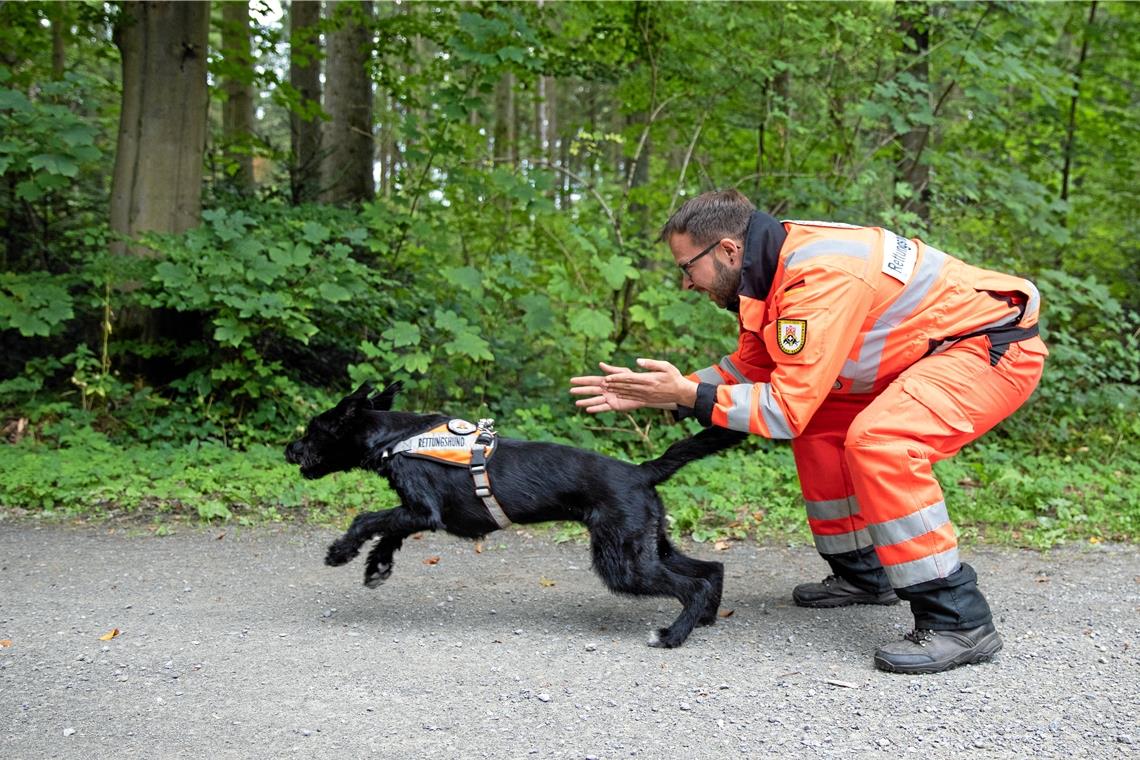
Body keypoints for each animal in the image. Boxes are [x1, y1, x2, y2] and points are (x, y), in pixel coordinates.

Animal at [285, 380, 747, 647]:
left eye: (313, 430)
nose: (289, 449)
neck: (396, 438)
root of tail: (640, 471)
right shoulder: (414, 513)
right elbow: (389, 531)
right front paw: (377, 566)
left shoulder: (423, 509)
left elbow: (367, 518)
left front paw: (341, 551)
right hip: (649, 543)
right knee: (712, 569)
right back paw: (704, 620)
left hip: (622, 560)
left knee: (692, 584)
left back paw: (672, 636)